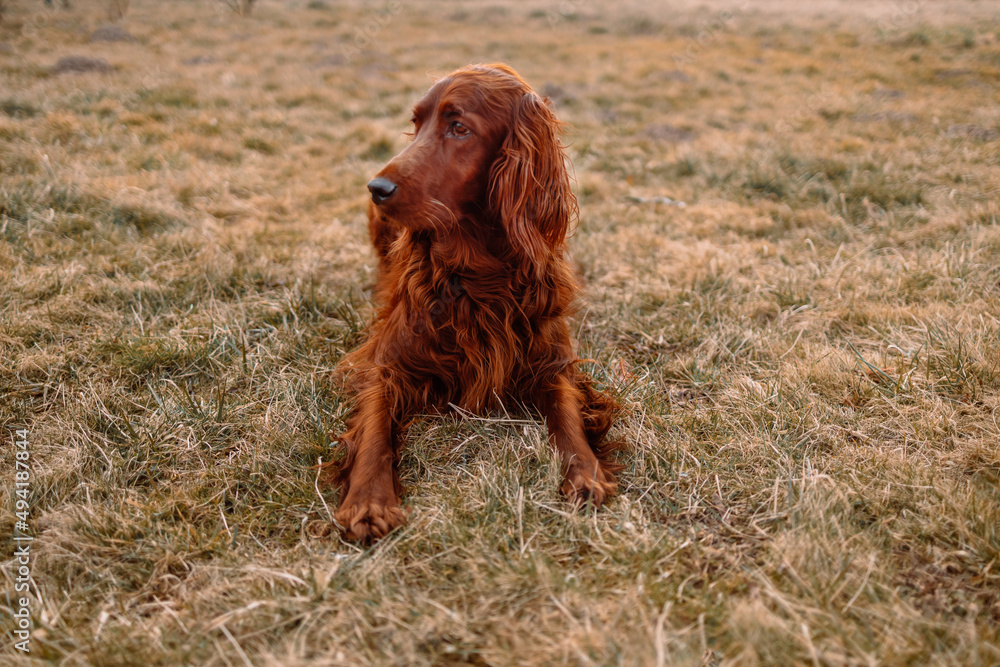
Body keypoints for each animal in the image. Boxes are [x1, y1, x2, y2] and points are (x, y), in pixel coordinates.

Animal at [330, 62, 624, 544]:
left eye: (459, 127)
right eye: (416, 124)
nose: (376, 187)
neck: (477, 272)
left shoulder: (548, 357)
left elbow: (566, 414)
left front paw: (585, 471)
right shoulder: (387, 363)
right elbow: (375, 432)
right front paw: (369, 501)